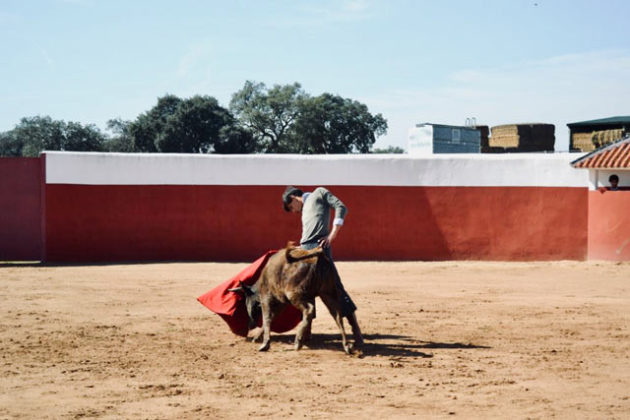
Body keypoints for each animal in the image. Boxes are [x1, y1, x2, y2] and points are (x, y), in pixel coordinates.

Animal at [231, 243, 360, 354]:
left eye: (247, 302)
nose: (250, 325)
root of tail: (316, 256)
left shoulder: (266, 299)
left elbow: (267, 318)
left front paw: (265, 344)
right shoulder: (282, 302)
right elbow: (273, 317)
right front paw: (257, 337)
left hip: (295, 294)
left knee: (309, 310)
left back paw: (298, 341)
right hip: (328, 293)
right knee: (337, 315)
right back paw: (347, 346)